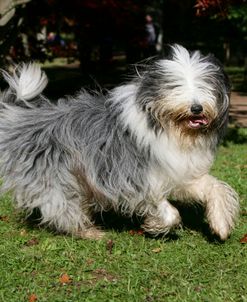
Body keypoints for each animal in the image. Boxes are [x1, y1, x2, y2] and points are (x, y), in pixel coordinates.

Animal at [0, 44, 239, 241]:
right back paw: (88, 232)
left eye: (204, 85)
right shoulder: (130, 175)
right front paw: (156, 224)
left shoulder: (179, 169)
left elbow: (214, 186)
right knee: (61, 207)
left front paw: (220, 224)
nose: (197, 108)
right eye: (175, 85)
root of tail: (20, 118)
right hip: (55, 176)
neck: (168, 128)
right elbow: (168, 211)